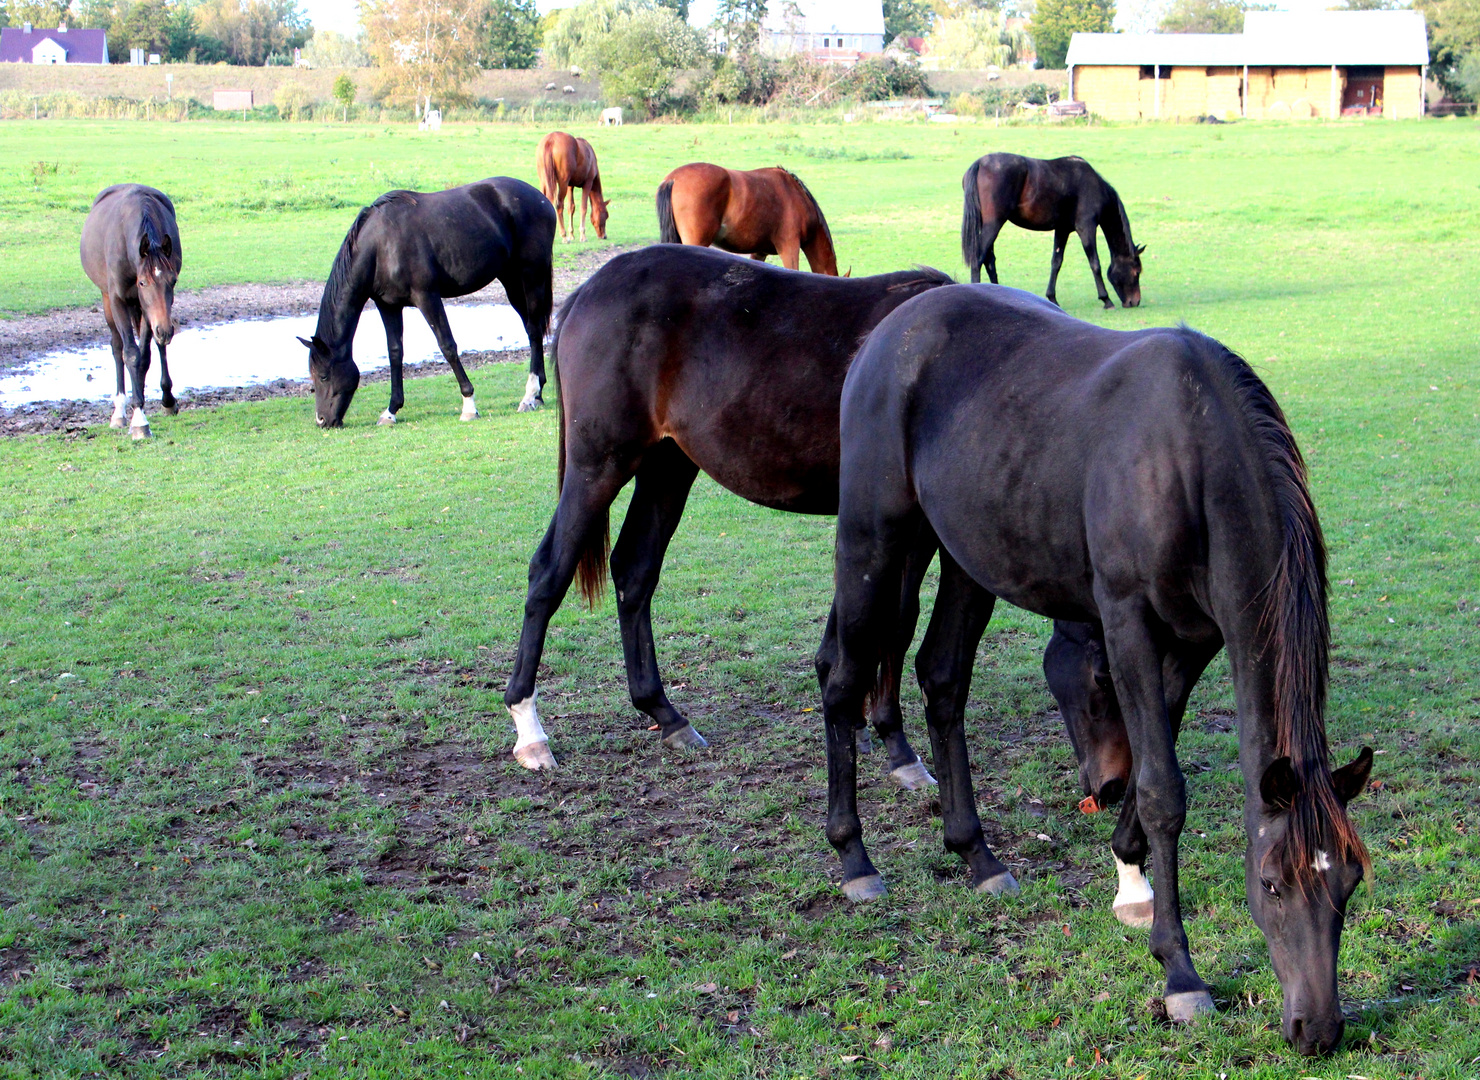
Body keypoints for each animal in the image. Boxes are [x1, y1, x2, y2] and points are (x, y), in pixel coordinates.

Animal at [81, 181, 181, 437]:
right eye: (143, 283)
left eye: (172, 281)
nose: (166, 329)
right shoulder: (118, 299)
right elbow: (130, 353)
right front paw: (138, 419)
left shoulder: (148, 309)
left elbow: (143, 357)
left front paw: (143, 409)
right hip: (108, 301)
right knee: (118, 347)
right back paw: (119, 411)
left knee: (157, 345)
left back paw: (166, 399)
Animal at [300, 176, 556, 426]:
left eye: (323, 376)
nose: (322, 420)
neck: (381, 246)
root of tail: (542, 200)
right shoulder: (388, 305)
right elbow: (395, 352)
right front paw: (391, 411)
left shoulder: (427, 297)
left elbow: (447, 346)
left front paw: (469, 406)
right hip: (511, 280)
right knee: (531, 328)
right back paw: (538, 394)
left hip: (531, 275)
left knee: (534, 330)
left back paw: (529, 396)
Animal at [822, 279, 1373, 1053]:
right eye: (1271, 884)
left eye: (1349, 881)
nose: (1317, 1029)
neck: (1189, 455)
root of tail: (887, 334)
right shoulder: (1127, 618)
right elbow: (1165, 789)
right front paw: (1180, 974)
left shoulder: (1196, 638)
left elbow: (1149, 766)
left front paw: (1130, 877)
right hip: (873, 541)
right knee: (843, 682)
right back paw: (855, 860)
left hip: (966, 556)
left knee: (943, 680)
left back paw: (976, 855)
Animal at [959, 149, 1142, 307]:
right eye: (1137, 271)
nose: (1134, 301)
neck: (1094, 185)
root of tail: (980, 163)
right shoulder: (1086, 227)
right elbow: (1095, 263)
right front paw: (1106, 300)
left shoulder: (1062, 229)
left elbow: (1056, 262)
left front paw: (1052, 298)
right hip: (994, 224)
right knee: (978, 259)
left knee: (989, 260)